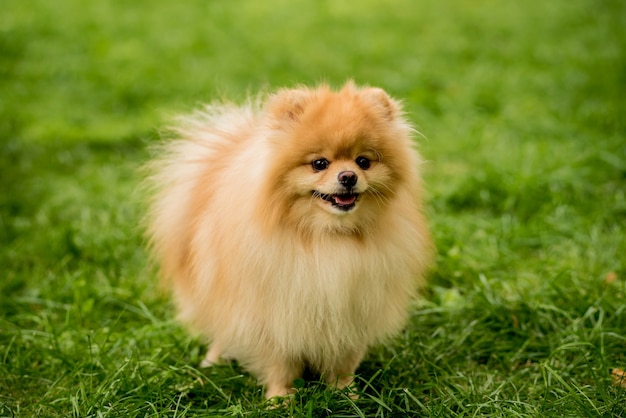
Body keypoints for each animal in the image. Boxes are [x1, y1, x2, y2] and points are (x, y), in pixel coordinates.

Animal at [145, 81, 428, 398]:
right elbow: (280, 364)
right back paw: (213, 361)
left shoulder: (352, 311)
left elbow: (343, 362)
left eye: (364, 161)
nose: (348, 176)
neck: (327, 237)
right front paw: (280, 399)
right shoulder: (275, 313)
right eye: (319, 163)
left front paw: (345, 394)